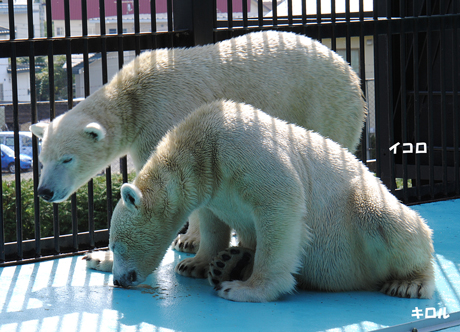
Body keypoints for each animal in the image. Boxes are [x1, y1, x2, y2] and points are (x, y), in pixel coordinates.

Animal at [30, 29, 364, 258]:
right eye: (43, 160)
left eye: (67, 159)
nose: (44, 191)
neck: (134, 97)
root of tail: (349, 69)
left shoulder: (166, 115)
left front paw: (189, 239)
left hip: (324, 104)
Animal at [108, 100, 434, 302]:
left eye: (115, 246)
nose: (118, 280)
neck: (200, 145)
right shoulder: (213, 187)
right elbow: (214, 224)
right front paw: (194, 264)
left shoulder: (241, 147)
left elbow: (281, 205)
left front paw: (244, 289)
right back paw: (230, 262)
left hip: (357, 218)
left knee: (387, 220)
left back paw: (410, 283)